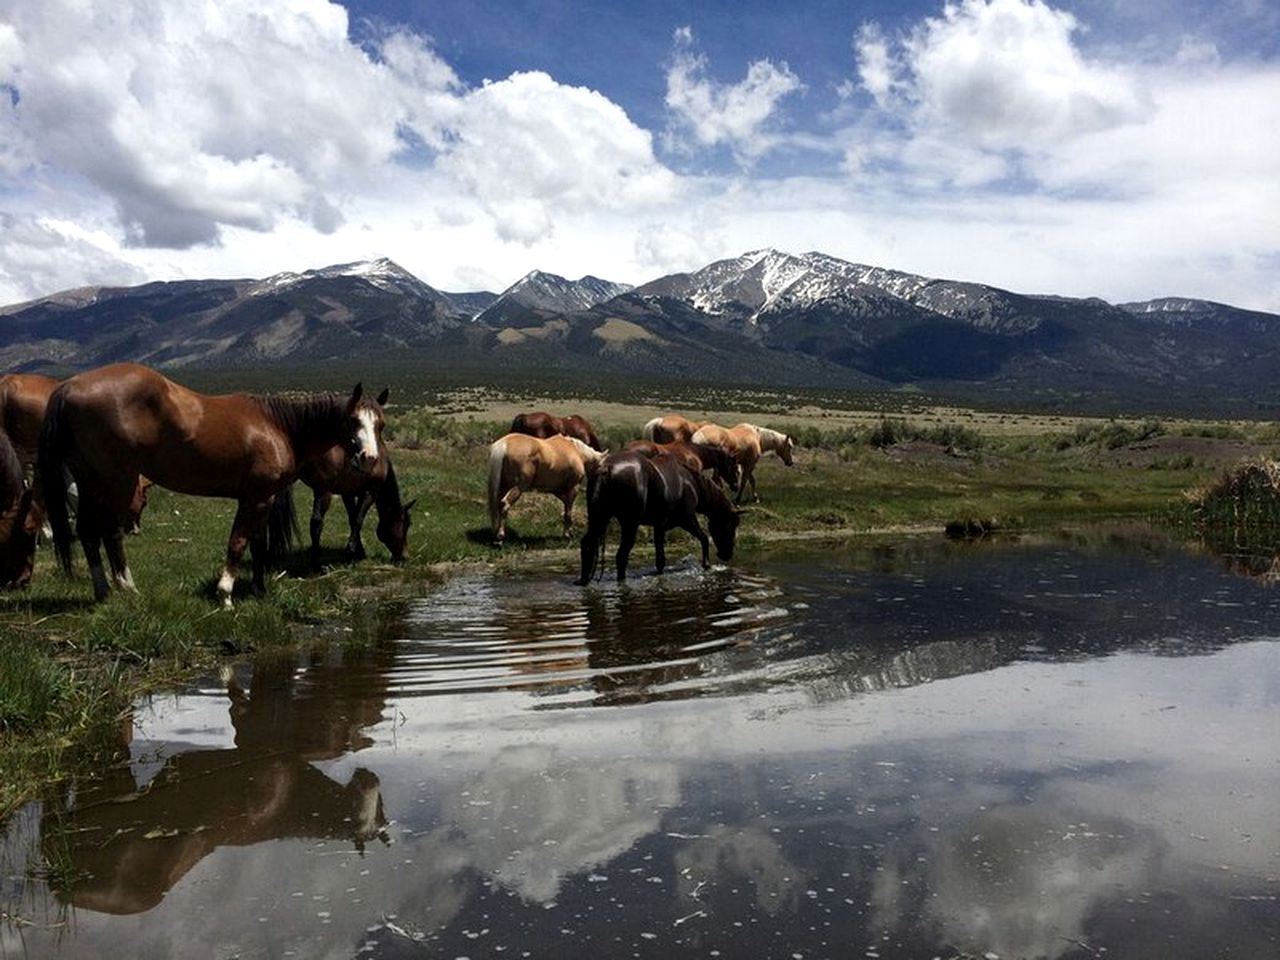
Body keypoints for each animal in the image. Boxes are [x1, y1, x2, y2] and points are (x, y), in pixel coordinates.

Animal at [40, 363, 384, 604]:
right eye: (353, 421)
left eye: (379, 424)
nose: (369, 458)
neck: (277, 426)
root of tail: (68, 387)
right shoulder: (254, 498)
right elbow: (238, 542)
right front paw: (225, 594)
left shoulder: (264, 498)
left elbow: (257, 544)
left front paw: (258, 590)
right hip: (117, 480)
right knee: (111, 532)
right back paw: (128, 588)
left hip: (88, 481)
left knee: (87, 532)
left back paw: (102, 591)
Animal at [299, 391, 414, 570]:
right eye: (405, 524)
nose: (404, 556)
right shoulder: (371, 491)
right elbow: (358, 519)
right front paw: (352, 552)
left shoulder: (348, 492)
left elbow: (352, 517)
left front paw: (358, 550)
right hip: (323, 490)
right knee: (317, 522)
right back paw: (316, 563)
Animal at [578, 450, 747, 586]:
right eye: (731, 525)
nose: (727, 554)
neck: (691, 482)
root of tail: (605, 468)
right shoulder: (687, 520)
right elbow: (704, 538)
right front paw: (706, 565)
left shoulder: (659, 527)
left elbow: (660, 561)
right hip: (629, 524)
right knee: (621, 556)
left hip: (599, 519)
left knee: (587, 545)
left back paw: (583, 581)